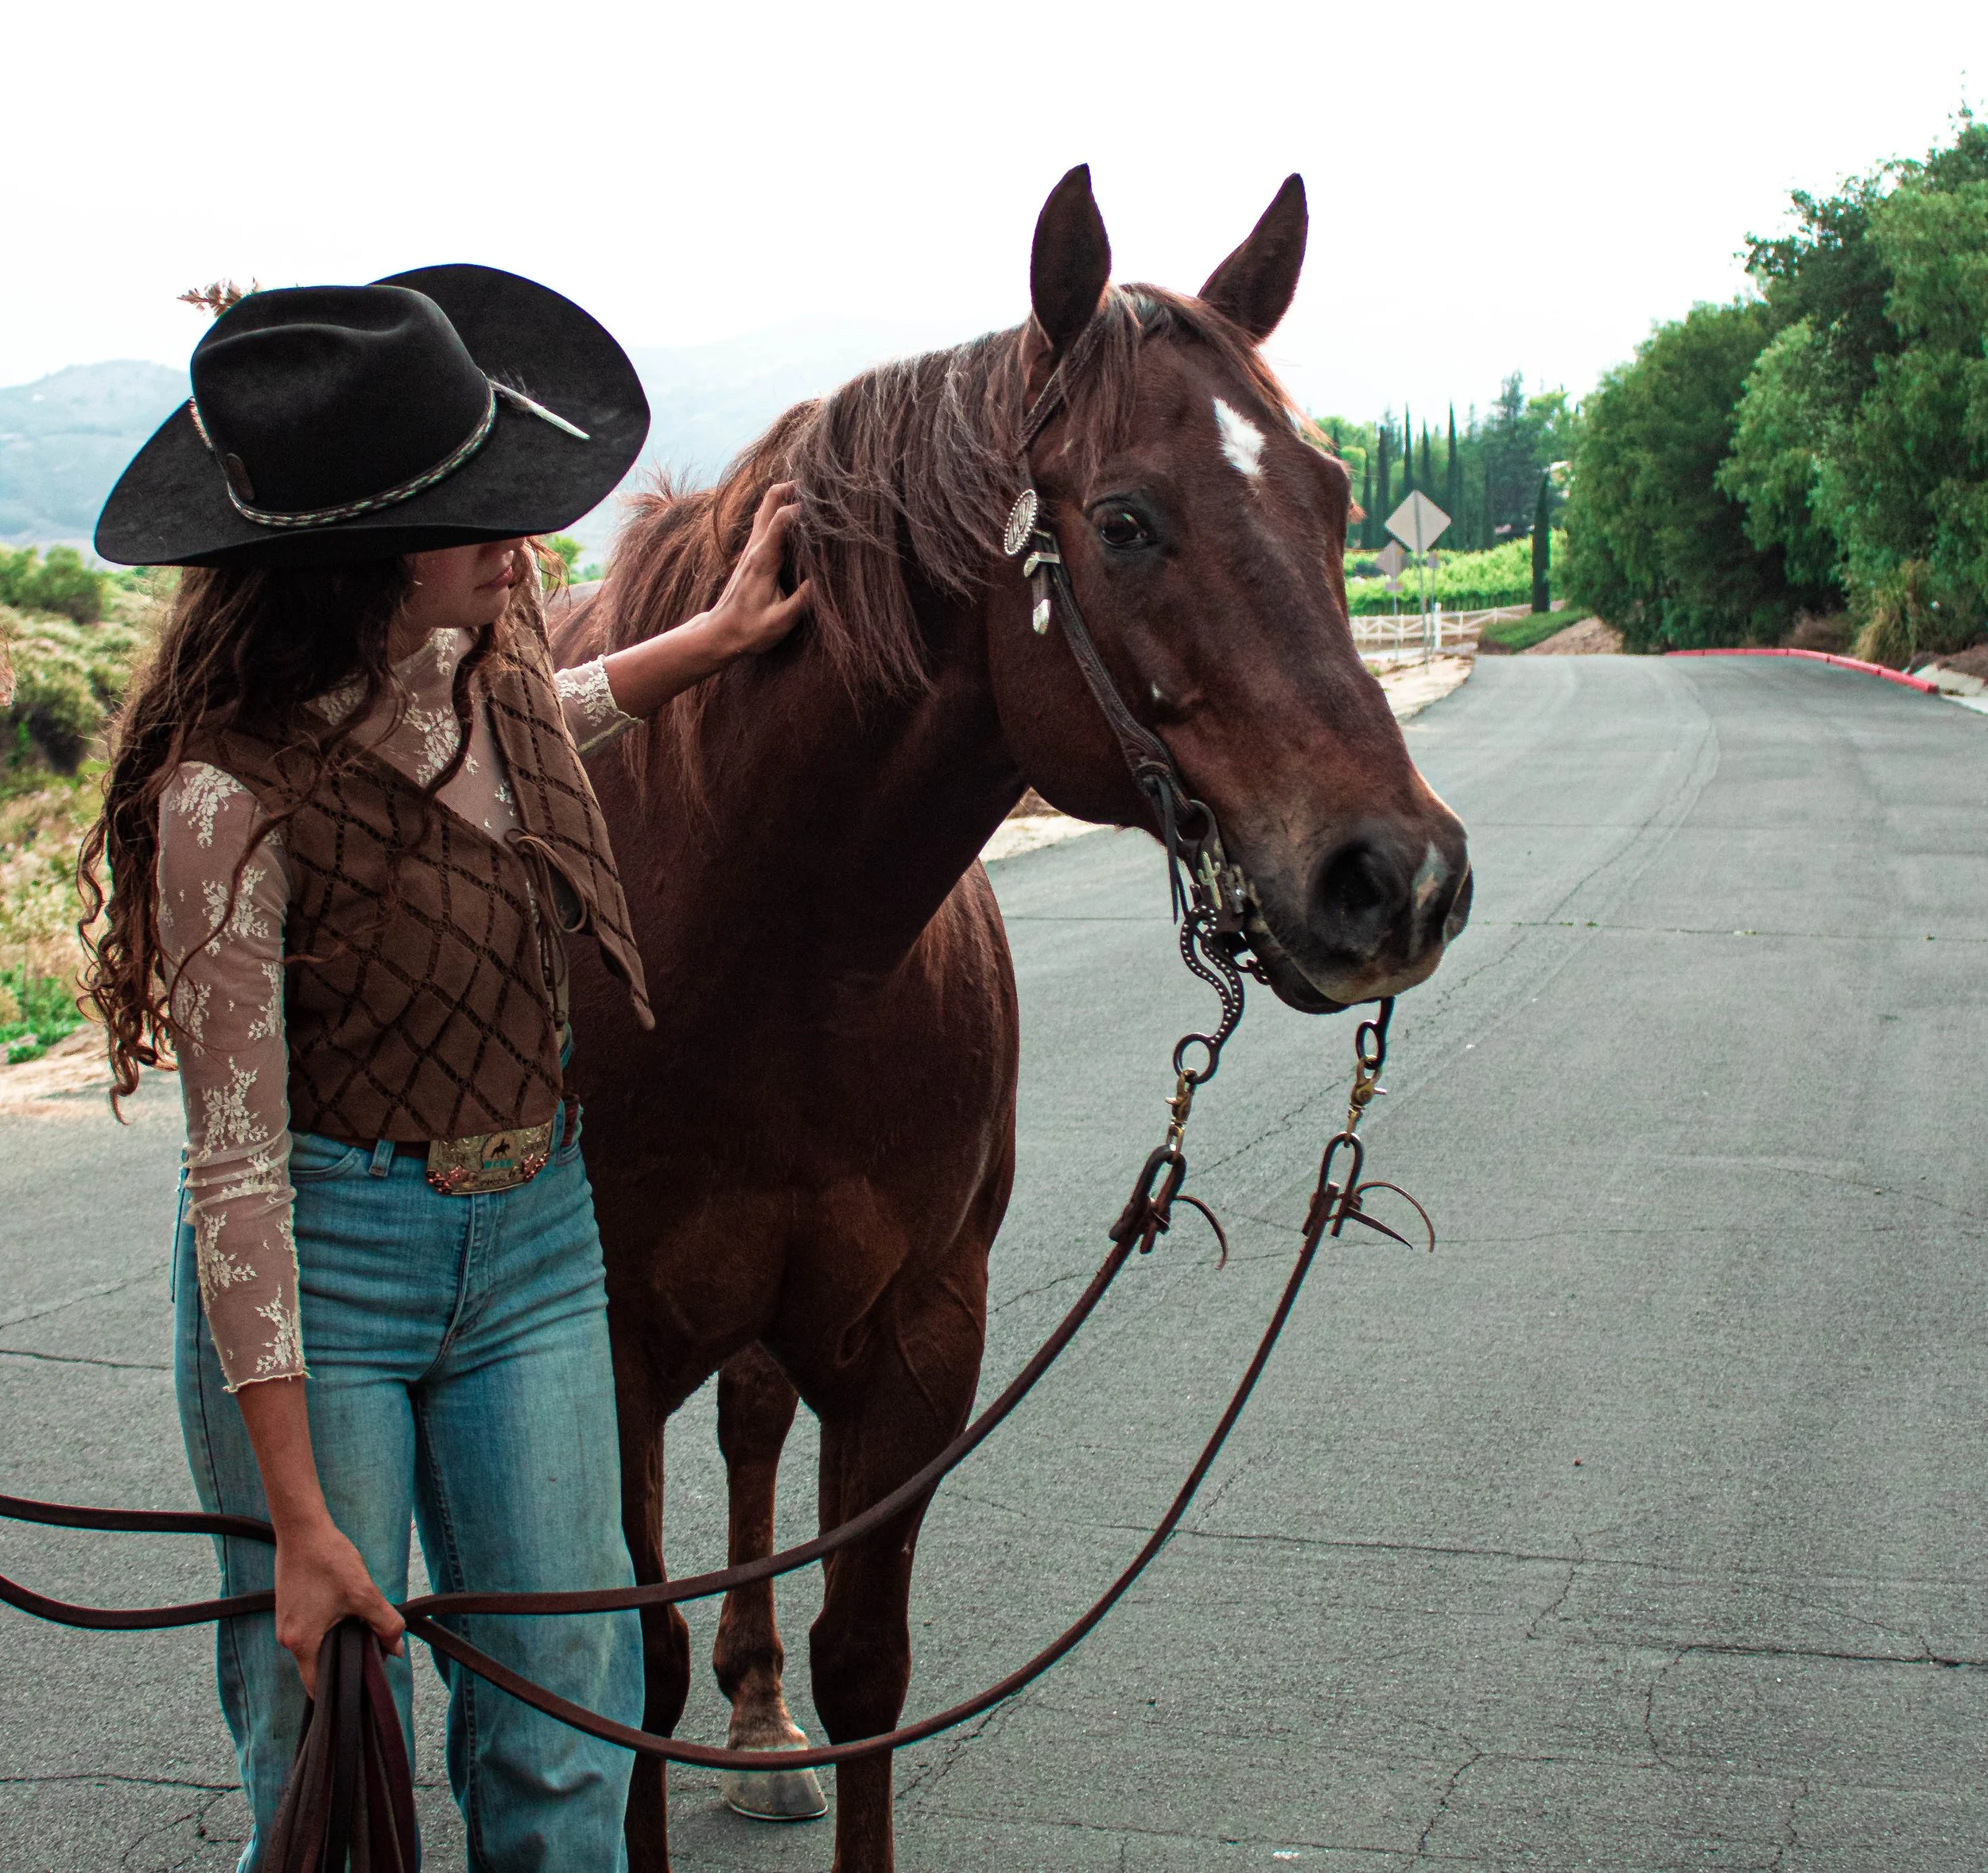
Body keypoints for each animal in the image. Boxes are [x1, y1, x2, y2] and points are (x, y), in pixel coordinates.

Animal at [552, 164, 1473, 1873]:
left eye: (1332, 495)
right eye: (1124, 522)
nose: (1402, 877)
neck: (760, 941)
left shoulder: (922, 1336)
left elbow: (866, 1663)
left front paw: (799, 1708)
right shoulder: (604, 1347)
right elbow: (622, 1661)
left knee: (758, 1426)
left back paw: (759, 1723)